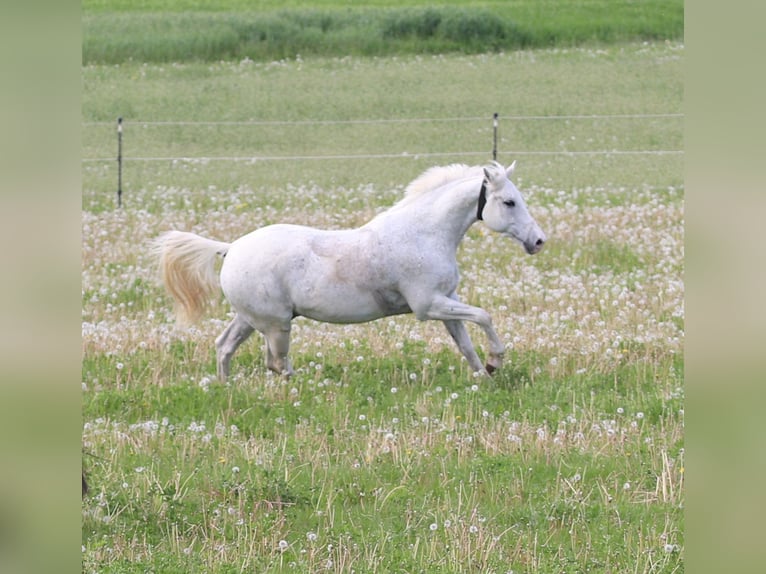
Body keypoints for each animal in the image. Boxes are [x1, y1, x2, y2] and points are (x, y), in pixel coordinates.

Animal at [154, 160, 544, 380]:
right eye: (509, 202)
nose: (538, 241)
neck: (423, 233)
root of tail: (231, 248)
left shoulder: (446, 301)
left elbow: (465, 341)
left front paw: (485, 375)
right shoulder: (429, 306)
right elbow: (484, 316)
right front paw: (496, 361)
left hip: (251, 320)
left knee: (225, 347)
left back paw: (226, 387)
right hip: (275, 325)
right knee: (276, 363)